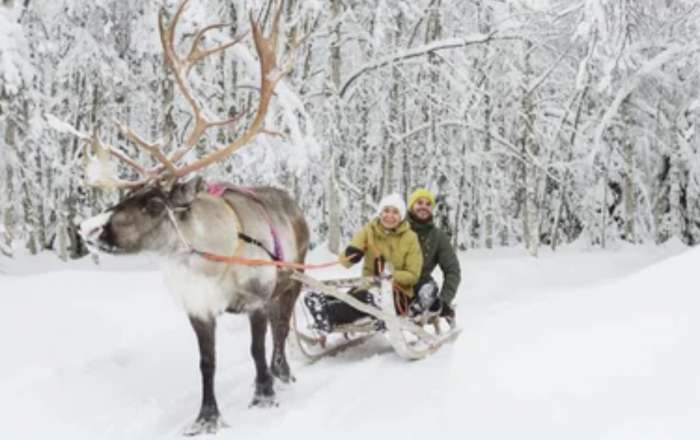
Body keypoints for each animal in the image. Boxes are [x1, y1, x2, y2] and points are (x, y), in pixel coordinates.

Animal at [74, 0, 309, 435]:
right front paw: (207, 417)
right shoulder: (198, 309)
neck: (211, 261)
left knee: (283, 328)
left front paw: (263, 395)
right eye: (124, 196)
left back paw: (282, 372)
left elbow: (256, 348)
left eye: (153, 205)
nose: (90, 230)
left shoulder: (257, 298)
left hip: (294, 278)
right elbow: (206, 363)